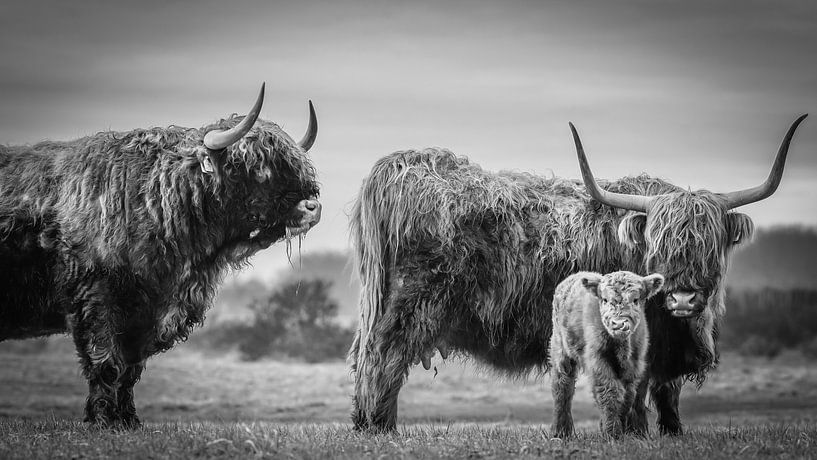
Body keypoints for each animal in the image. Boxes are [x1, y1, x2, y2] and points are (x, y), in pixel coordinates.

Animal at [548, 272, 664, 440]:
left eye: (635, 300)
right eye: (605, 299)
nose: (619, 324)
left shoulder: (634, 365)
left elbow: (627, 395)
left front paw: (614, 429)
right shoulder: (598, 361)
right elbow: (609, 392)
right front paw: (613, 433)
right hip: (560, 351)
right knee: (562, 387)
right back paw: (560, 432)